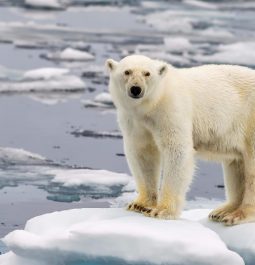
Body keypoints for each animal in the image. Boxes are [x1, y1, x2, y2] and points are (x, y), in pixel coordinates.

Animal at [104, 54, 255, 224]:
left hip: (250, 118)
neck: (153, 103)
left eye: (147, 73)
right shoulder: (135, 121)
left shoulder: (170, 110)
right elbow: (143, 154)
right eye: (127, 72)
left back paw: (238, 214)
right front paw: (139, 204)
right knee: (237, 165)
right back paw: (222, 212)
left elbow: (176, 151)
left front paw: (161, 210)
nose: (136, 89)